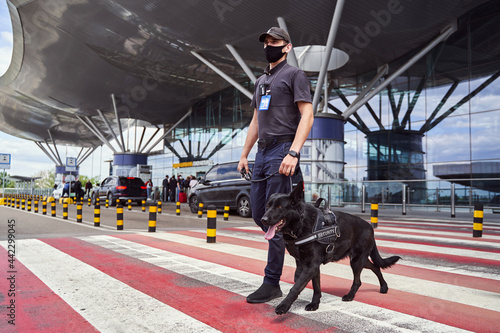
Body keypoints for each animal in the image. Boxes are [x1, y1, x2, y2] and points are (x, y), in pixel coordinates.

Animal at [260, 182, 400, 314]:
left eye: (279, 207)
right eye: (267, 206)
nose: (263, 219)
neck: (301, 223)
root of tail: (370, 227)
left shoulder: (311, 266)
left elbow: (296, 287)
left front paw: (284, 306)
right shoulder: (309, 266)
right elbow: (316, 287)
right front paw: (315, 304)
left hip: (357, 261)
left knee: (358, 280)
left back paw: (350, 295)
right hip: (359, 259)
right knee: (375, 266)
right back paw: (383, 286)